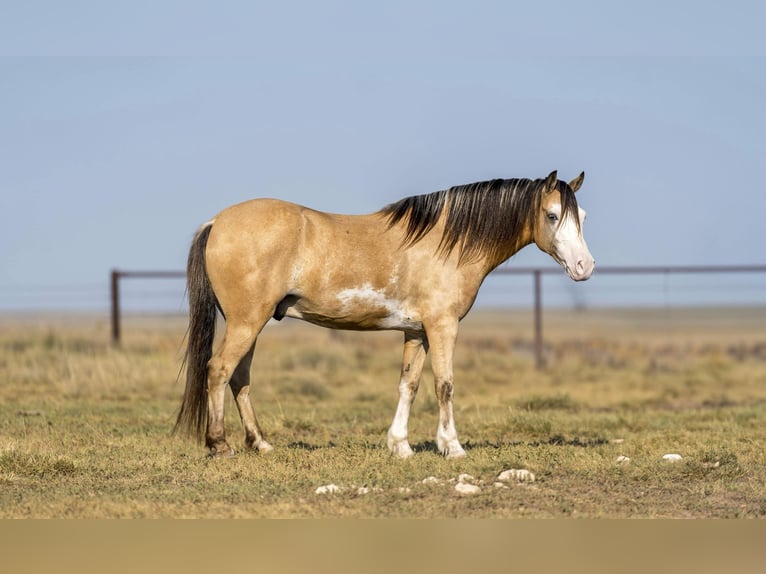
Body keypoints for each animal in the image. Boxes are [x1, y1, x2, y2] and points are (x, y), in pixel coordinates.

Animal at [174, 170, 595, 458]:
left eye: (583, 217)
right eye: (552, 215)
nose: (584, 266)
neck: (447, 242)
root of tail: (217, 222)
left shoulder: (417, 331)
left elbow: (409, 384)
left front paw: (400, 446)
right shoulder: (442, 326)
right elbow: (445, 384)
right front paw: (452, 447)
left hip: (251, 323)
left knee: (239, 377)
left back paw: (260, 443)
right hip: (247, 322)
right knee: (219, 370)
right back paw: (220, 444)